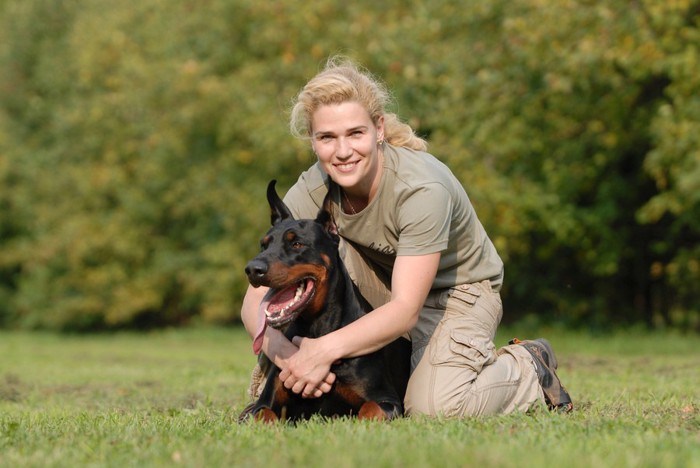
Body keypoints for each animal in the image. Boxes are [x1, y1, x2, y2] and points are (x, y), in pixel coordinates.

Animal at [241, 181, 410, 422]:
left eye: (297, 244)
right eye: (263, 245)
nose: (253, 269)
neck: (316, 327)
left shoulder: (388, 401)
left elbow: (369, 409)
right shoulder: (265, 403)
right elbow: (263, 414)